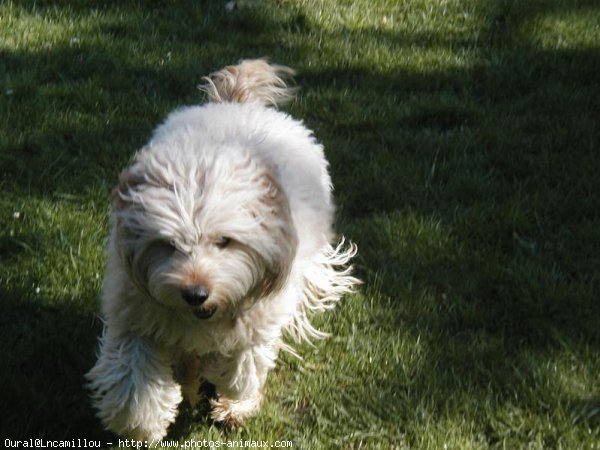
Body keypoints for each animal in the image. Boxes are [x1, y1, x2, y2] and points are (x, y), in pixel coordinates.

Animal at [86, 59, 358, 440]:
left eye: (225, 242)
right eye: (167, 245)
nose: (195, 293)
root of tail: (237, 103)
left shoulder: (261, 315)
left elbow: (241, 367)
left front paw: (225, 389)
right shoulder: (138, 315)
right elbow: (134, 379)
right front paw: (141, 422)